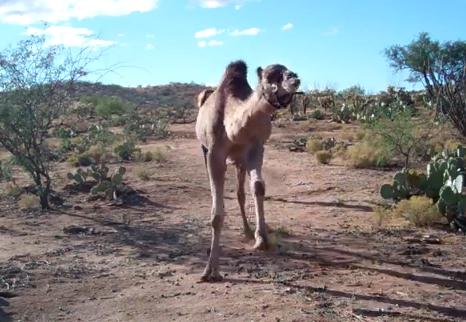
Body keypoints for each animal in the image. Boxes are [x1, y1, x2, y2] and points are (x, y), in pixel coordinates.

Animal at [195, 61, 300, 282]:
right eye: (269, 76)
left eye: (290, 70)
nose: (295, 79)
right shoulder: (214, 154)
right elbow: (217, 215)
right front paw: (210, 270)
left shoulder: (256, 148)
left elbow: (258, 187)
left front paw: (261, 239)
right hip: (204, 149)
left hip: (239, 161)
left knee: (240, 193)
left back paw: (247, 231)